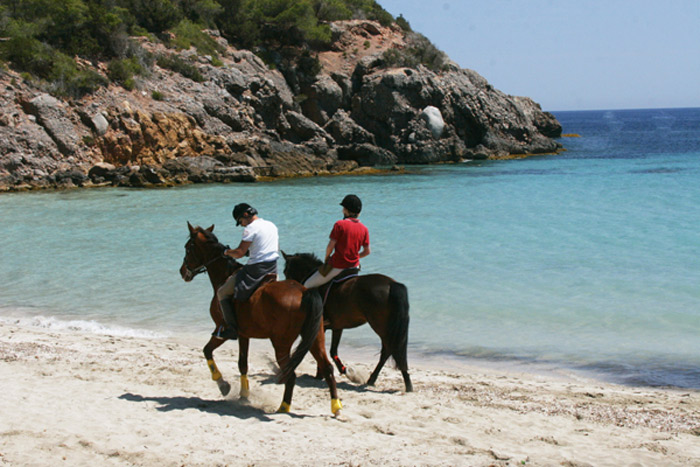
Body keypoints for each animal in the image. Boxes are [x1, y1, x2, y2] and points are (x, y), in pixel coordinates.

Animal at [179, 225, 340, 414]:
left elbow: (207, 351)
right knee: (327, 368)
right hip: (315, 338)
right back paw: (336, 407)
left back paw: (284, 407)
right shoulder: (243, 335)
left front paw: (223, 385)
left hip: (281, 344)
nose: (182, 271)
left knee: (291, 374)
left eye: (188, 247)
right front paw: (243, 394)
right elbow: (242, 364)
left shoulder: (222, 330)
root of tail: (304, 291)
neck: (225, 275)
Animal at [280, 252, 410, 392]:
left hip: (380, 326)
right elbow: (332, 351)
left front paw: (321, 374)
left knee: (389, 350)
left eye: (286, 270)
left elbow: (322, 350)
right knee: (390, 350)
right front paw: (340, 370)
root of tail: (391, 284)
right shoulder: (337, 327)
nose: (288, 285)